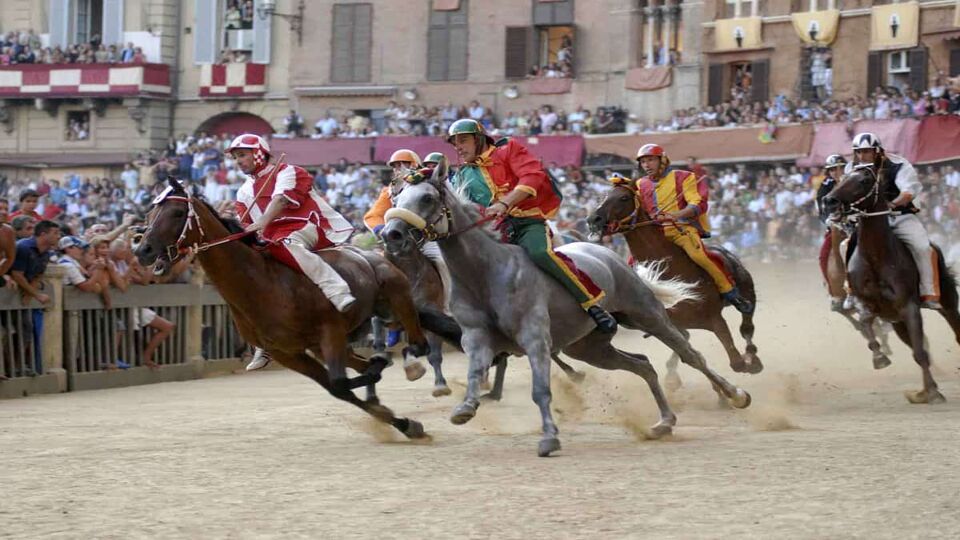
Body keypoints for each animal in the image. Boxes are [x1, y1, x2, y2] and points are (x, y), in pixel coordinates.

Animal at [136, 177, 464, 438]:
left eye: (177, 212)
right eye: (151, 212)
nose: (143, 250)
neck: (263, 285)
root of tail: (375, 255)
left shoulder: (329, 330)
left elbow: (341, 383)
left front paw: (383, 386)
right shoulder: (288, 352)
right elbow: (338, 388)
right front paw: (403, 422)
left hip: (395, 301)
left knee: (420, 344)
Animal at [584, 185, 764, 388]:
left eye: (623, 197)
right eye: (603, 196)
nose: (593, 219)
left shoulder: (713, 318)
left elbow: (736, 361)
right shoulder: (672, 319)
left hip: (747, 292)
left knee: (746, 324)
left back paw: (753, 357)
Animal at [824, 167, 960, 402]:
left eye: (863, 181)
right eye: (843, 178)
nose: (830, 201)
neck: (876, 257)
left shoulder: (909, 307)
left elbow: (920, 352)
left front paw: (932, 393)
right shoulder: (869, 305)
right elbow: (866, 323)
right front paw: (879, 357)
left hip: (946, 302)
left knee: (954, 328)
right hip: (897, 322)